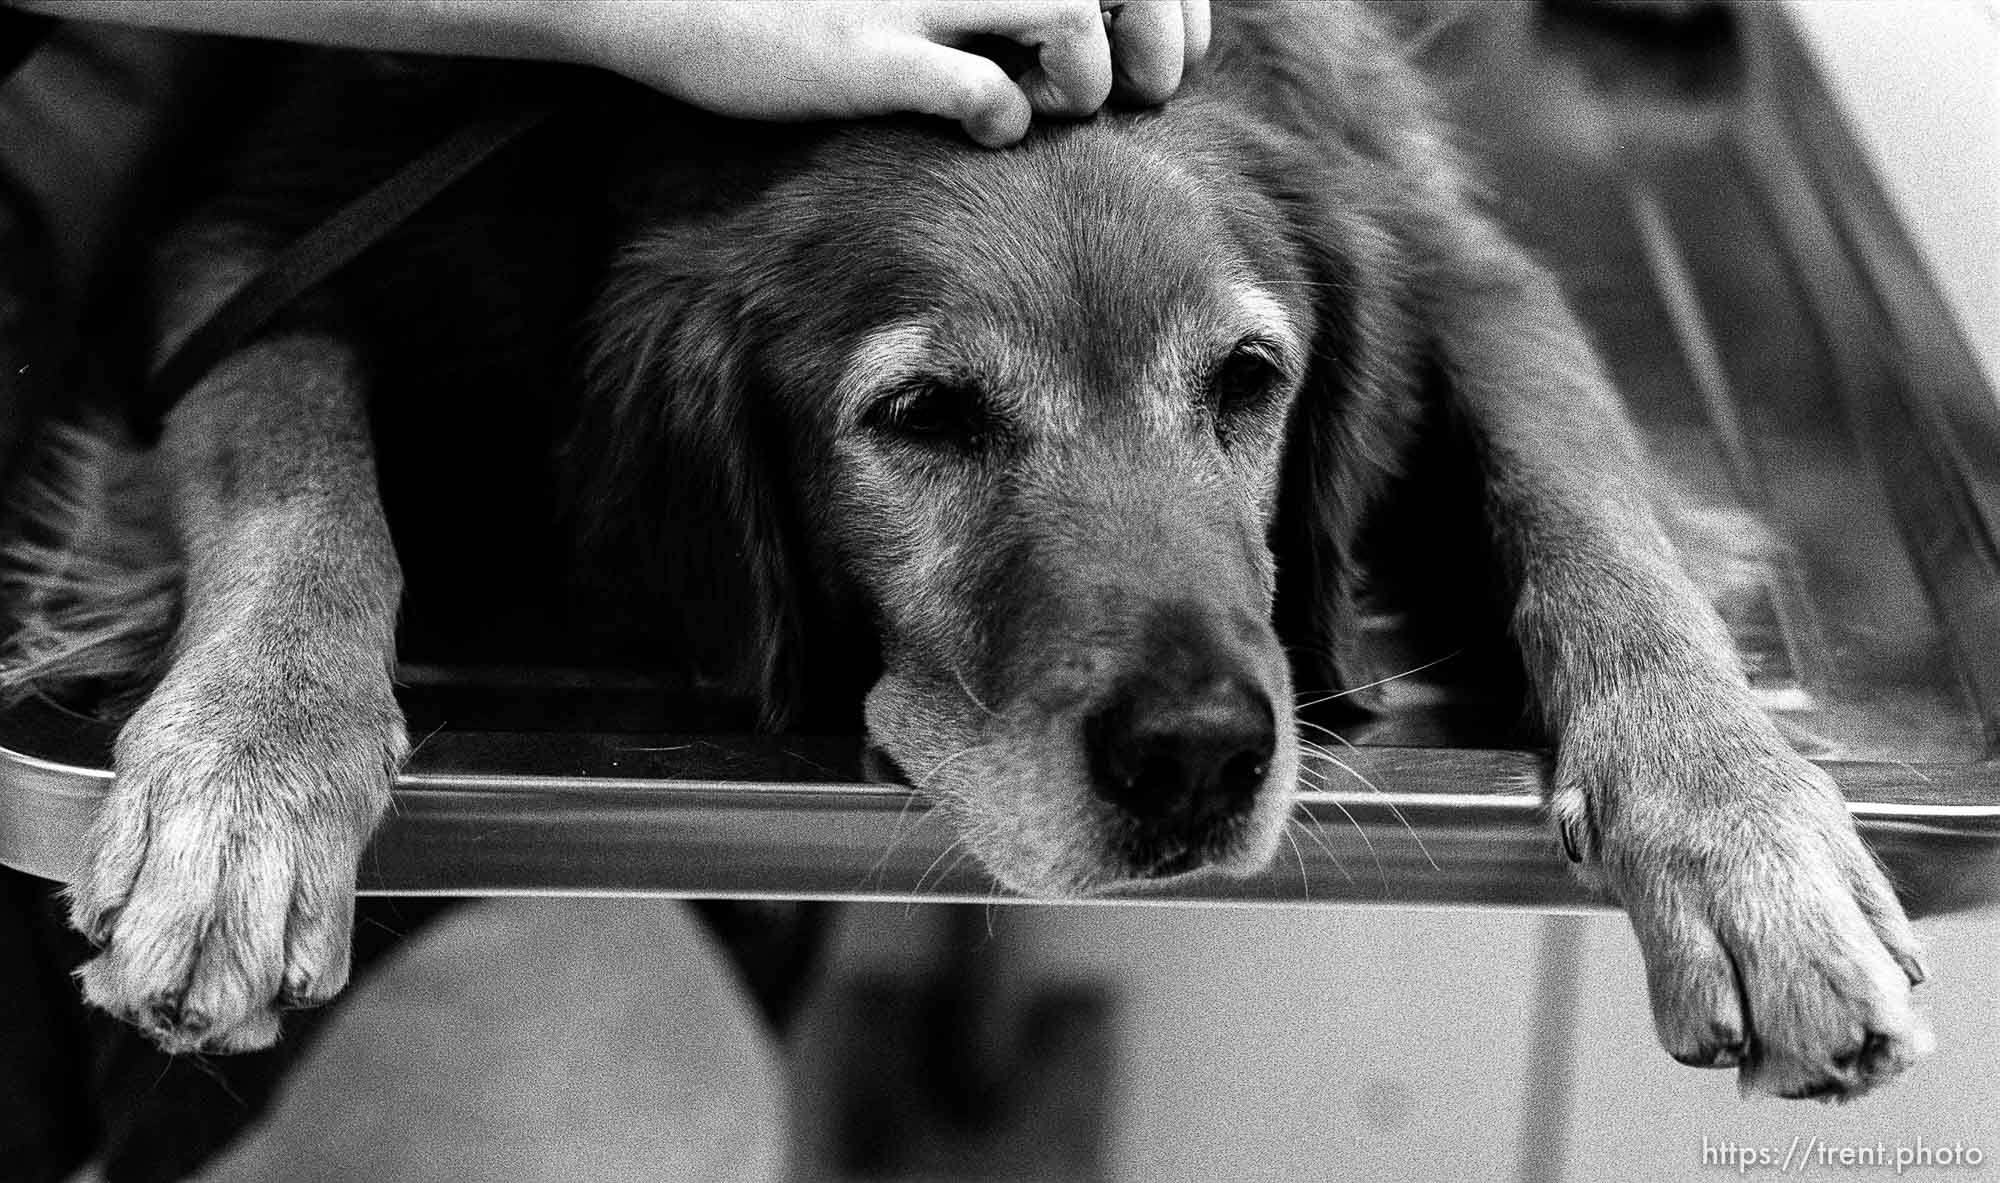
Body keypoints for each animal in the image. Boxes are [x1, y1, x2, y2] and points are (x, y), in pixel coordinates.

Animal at [3, 4, 1936, 1103]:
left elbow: (1593, 516)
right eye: (924, 414)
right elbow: (302, 473)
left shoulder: (1450, 249)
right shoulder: (254, 240)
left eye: (1250, 381)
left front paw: (1747, 833)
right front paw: (249, 773)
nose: (1200, 759)